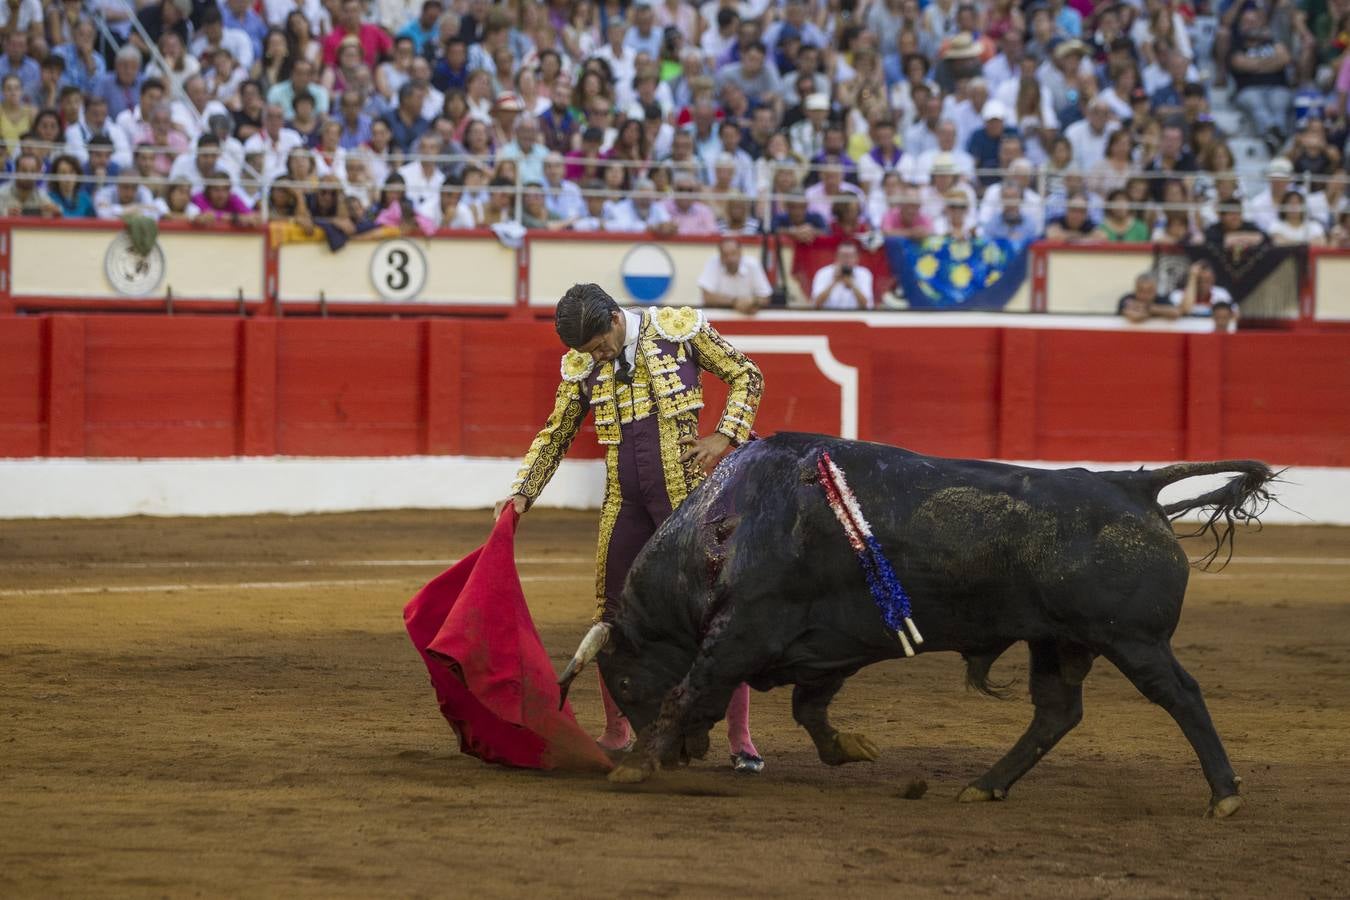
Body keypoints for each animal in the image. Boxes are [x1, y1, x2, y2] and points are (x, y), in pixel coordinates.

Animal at [585, 431, 1269, 820]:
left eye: (624, 683)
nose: (683, 757)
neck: (725, 529)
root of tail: (1134, 487)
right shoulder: (829, 648)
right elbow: (810, 709)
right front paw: (850, 748)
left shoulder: (743, 632)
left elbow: (690, 689)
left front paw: (635, 765)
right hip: (1057, 640)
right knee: (1056, 712)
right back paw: (985, 787)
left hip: (1133, 640)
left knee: (1179, 695)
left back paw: (1225, 794)